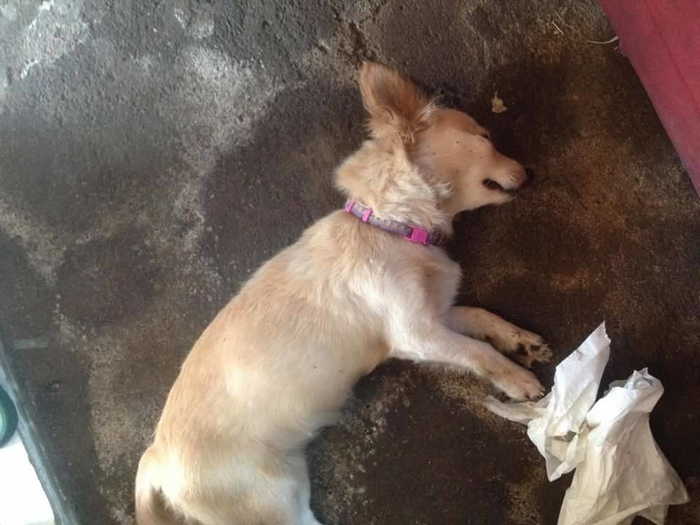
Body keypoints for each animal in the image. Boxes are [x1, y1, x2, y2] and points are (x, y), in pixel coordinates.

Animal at [135, 61, 552, 524]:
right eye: (484, 137)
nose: (533, 171)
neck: (390, 226)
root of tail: (156, 460)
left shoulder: (436, 315)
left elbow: (481, 316)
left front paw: (520, 341)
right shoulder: (416, 334)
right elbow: (478, 353)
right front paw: (516, 379)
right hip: (272, 504)